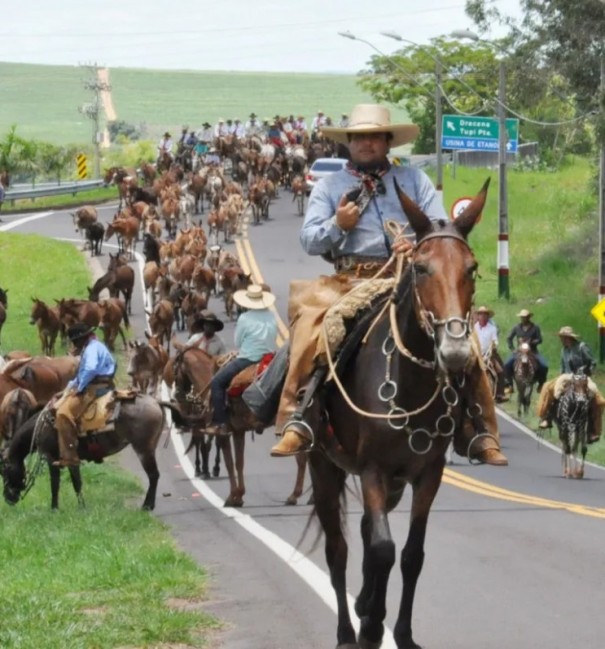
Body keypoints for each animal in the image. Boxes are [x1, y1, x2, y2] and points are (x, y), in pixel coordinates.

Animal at [302, 177, 490, 648]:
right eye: (421, 268)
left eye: (472, 268)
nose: (455, 351)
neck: (410, 382)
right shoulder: (372, 469)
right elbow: (382, 550)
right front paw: (371, 626)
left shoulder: (427, 474)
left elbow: (410, 554)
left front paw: (400, 631)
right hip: (323, 466)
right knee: (339, 549)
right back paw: (348, 630)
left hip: (393, 484)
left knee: (368, 534)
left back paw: (366, 603)